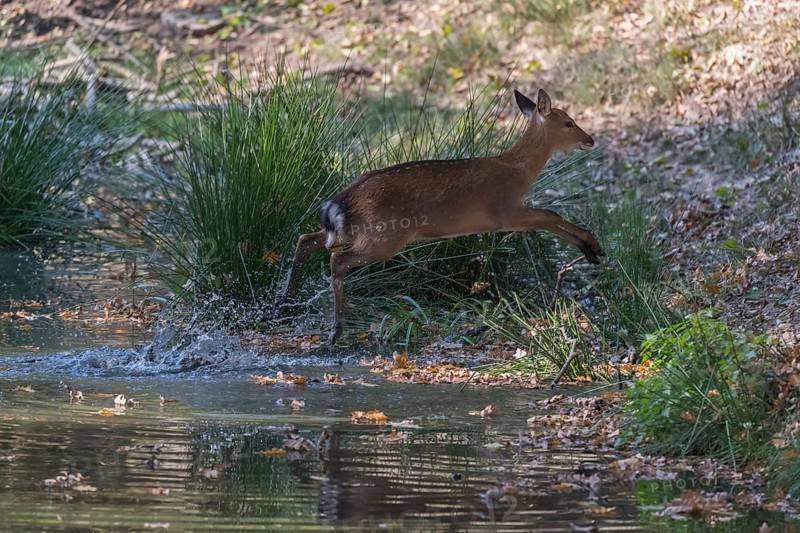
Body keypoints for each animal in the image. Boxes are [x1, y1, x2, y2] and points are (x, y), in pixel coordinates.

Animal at [282, 88, 603, 345]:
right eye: (568, 122)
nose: (590, 139)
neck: (519, 171)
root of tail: (343, 199)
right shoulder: (505, 212)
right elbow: (550, 214)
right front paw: (593, 247)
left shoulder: (509, 214)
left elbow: (551, 216)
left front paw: (591, 250)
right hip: (384, 236)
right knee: (336, 259)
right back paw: (334, 330)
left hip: (351, 230)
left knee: (306, 239)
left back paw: (286, 307)